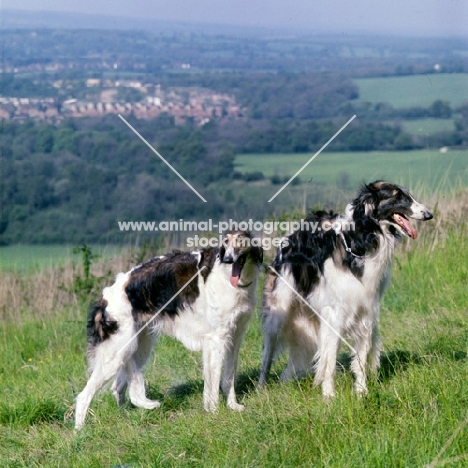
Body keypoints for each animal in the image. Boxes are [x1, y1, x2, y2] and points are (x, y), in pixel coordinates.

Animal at [75, 230, 262, 428]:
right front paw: (214, 412)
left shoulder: (235, 337)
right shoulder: (216, 340)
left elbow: (229, 378)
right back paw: (80, 431)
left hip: (137, 348)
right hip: (116, 353)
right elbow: (213, 383)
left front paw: (233, 406)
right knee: (84, 396)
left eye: (241, 241)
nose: (227, 259)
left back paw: (125, 416)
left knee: (117, 387)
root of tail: (105, 299)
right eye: (225, 242)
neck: (229, 279)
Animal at [260, 183, 432, 398]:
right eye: (398, 196)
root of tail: (289, 238)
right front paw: (329, 396)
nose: (429, 214)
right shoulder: (335, 316)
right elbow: (330, 361)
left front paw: (361, 392)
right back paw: (260, 388)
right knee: (267, 355)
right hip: (279, 312)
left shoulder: (366, 314)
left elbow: (360, 360)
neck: (360, 243)